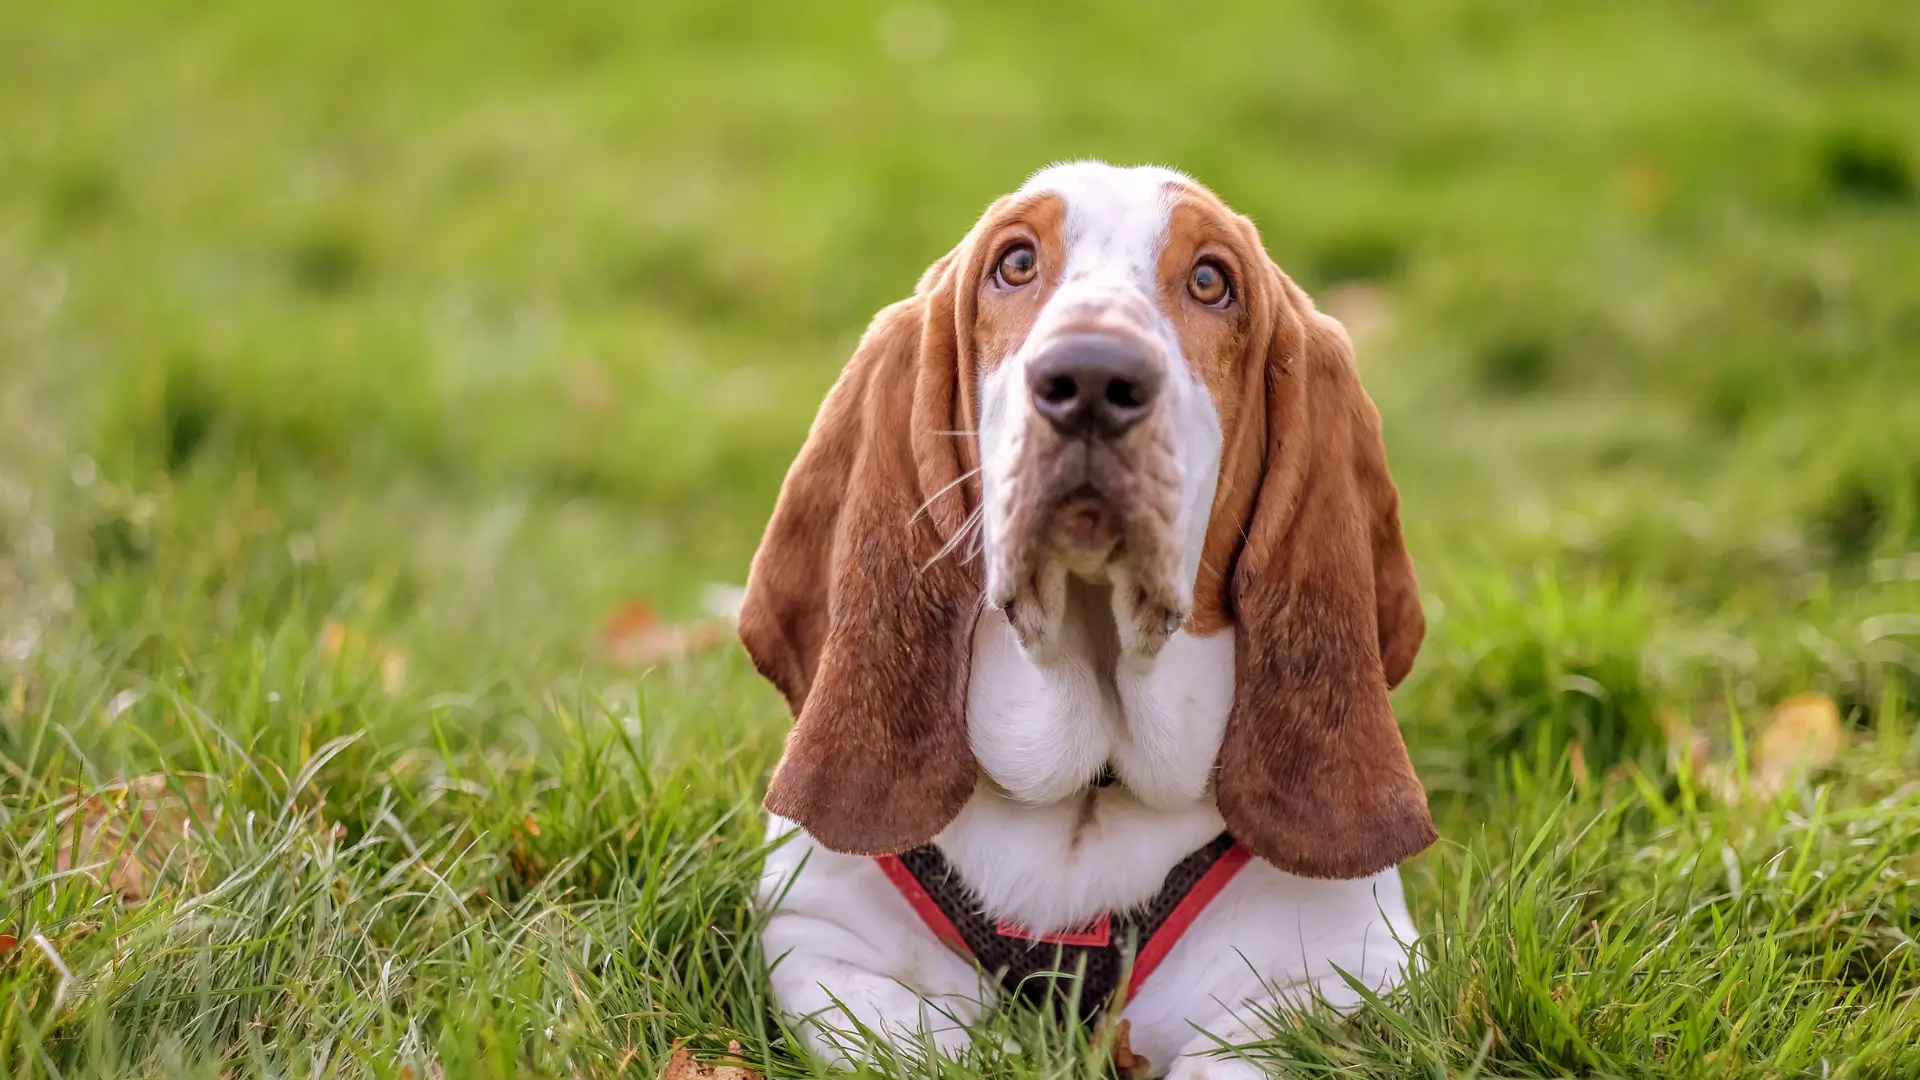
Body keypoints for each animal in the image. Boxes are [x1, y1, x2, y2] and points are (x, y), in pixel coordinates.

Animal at [741, 159, 1436, 1076]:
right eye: (1015, 264)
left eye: (1211, 281)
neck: (1090, 788)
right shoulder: (820, 937)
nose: (1094, 381)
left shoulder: (1353, 966)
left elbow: (1241, 1053)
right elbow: (920, 1046)